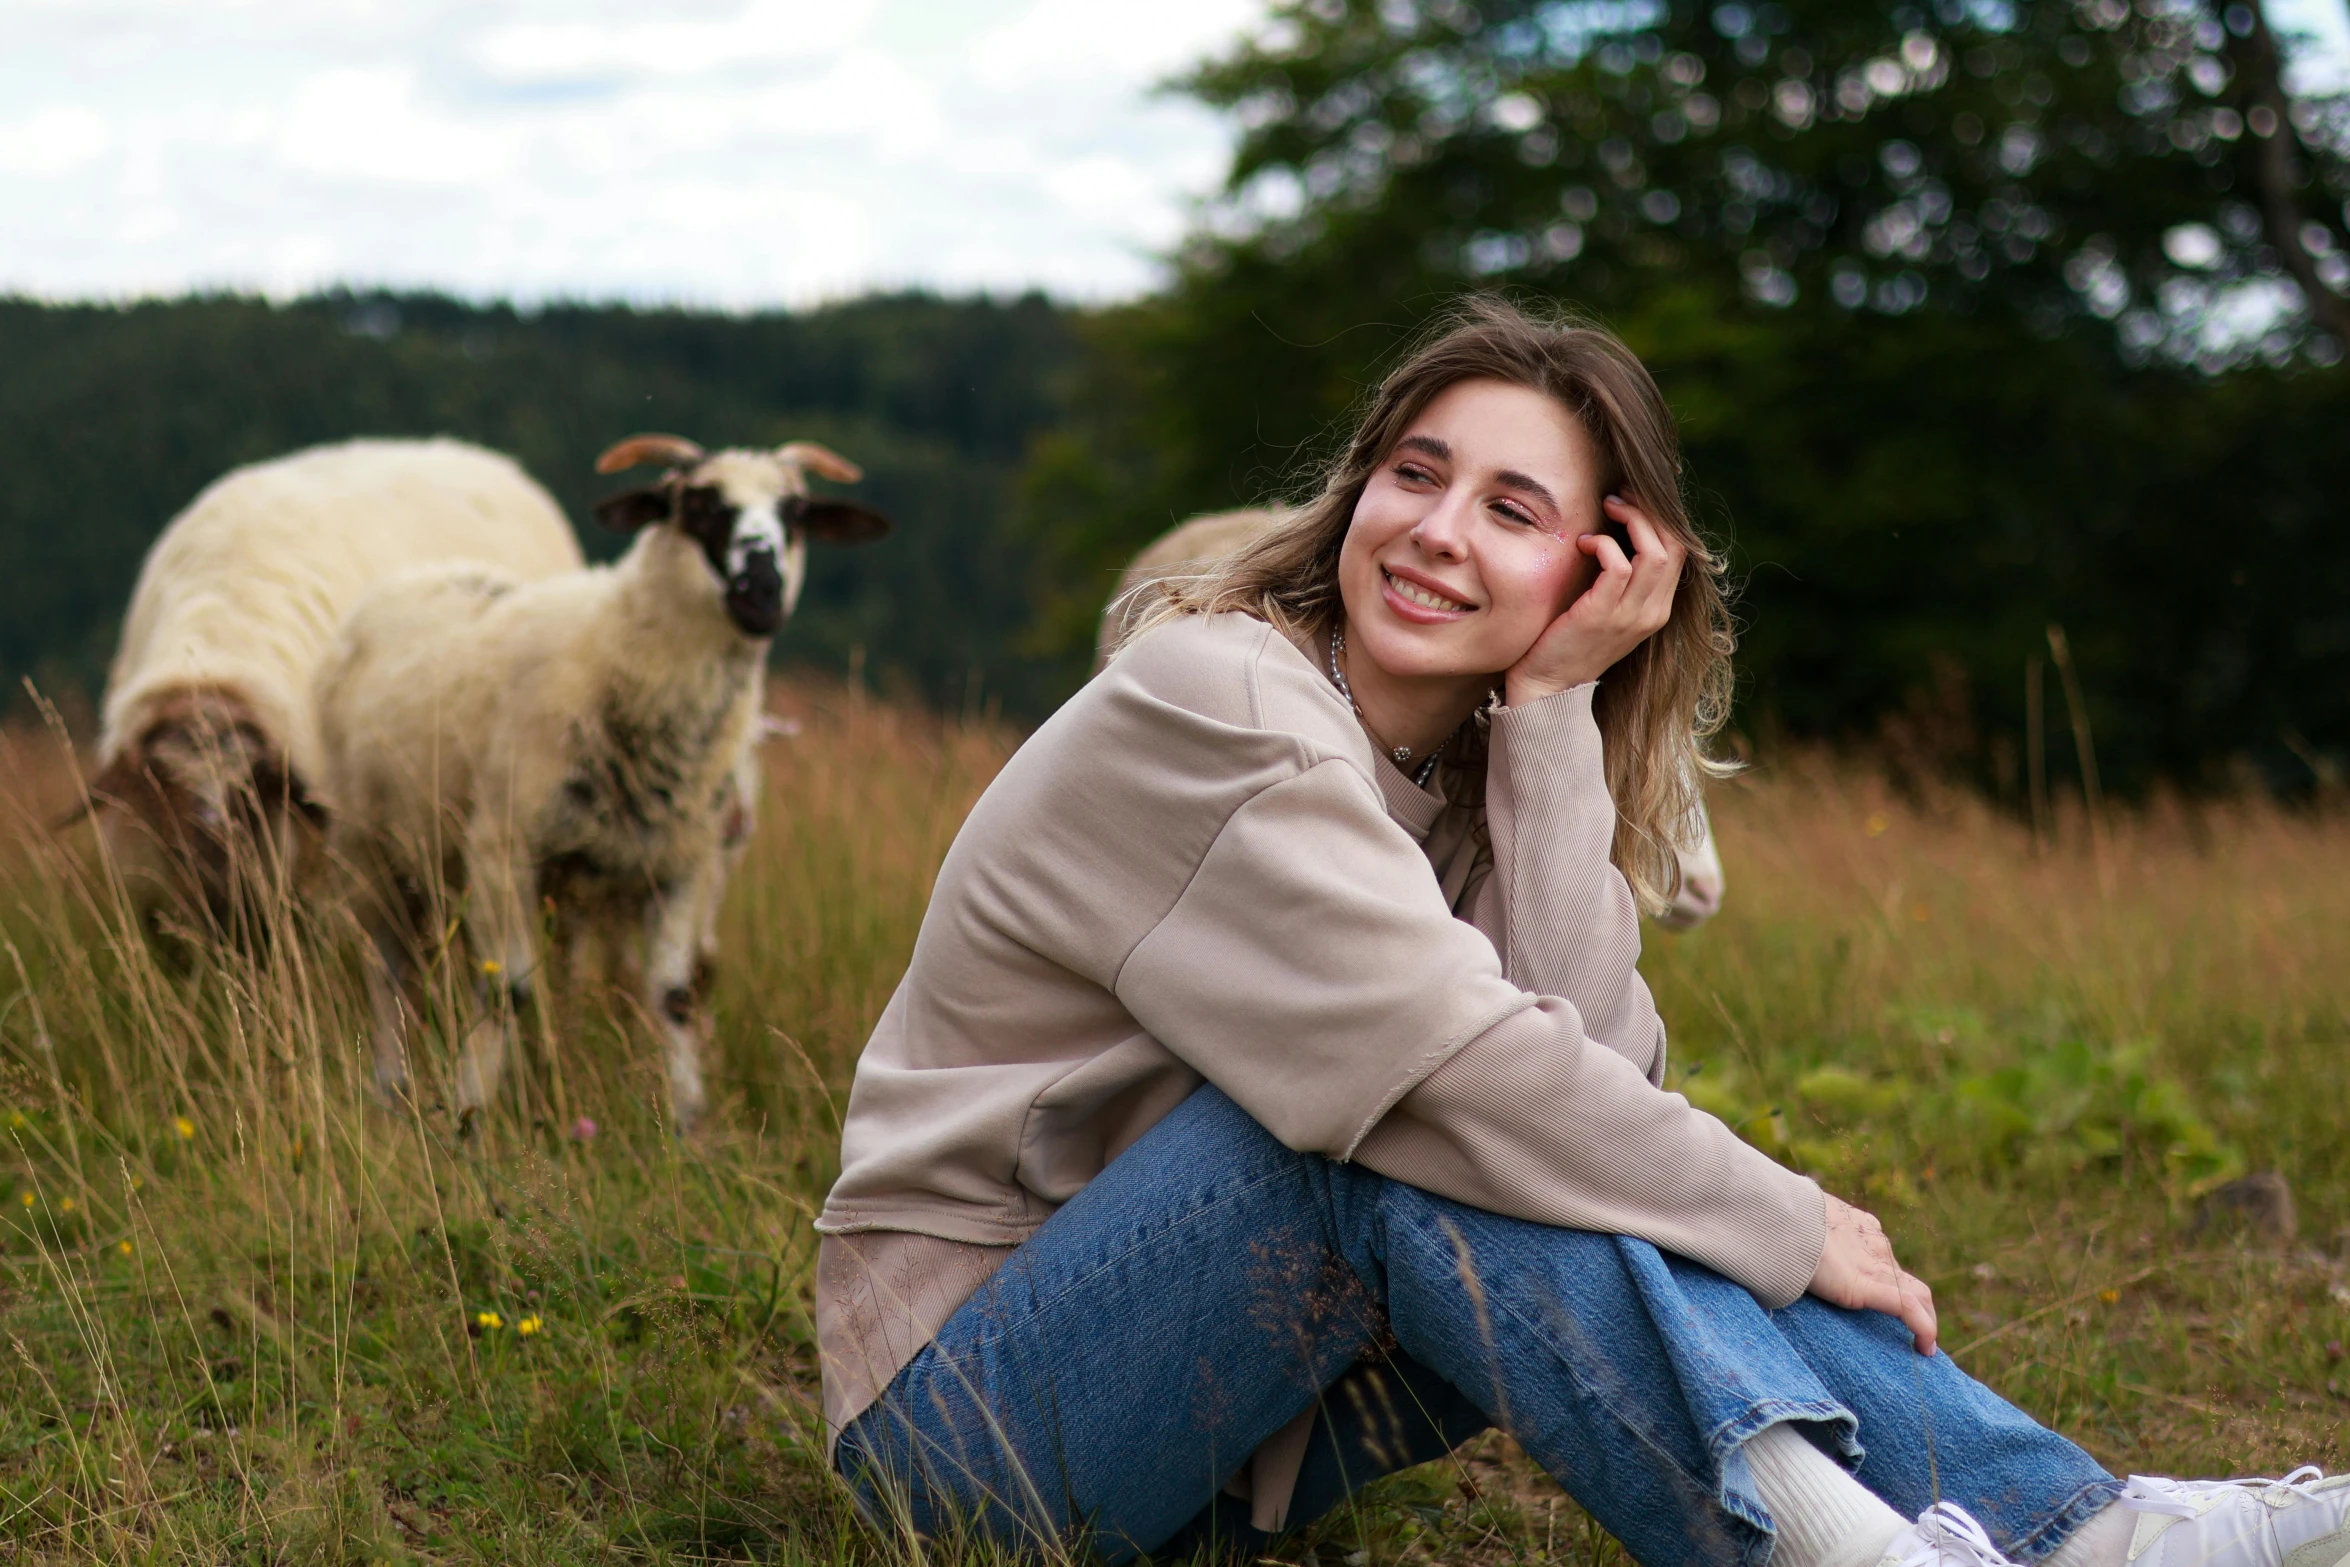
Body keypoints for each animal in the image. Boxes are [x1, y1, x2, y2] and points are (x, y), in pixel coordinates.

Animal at [312, 434, 888, 1132]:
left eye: (796, 513)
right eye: (698, 505)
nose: (762, 593)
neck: (613, 654)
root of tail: (420, 572)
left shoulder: (682, 864)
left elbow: (675, 997)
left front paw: (691, 1124)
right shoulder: (501, 847)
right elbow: (505, 990)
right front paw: (470, 1115)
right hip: (368, 846)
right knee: (387, 967)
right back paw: (391, 1091)